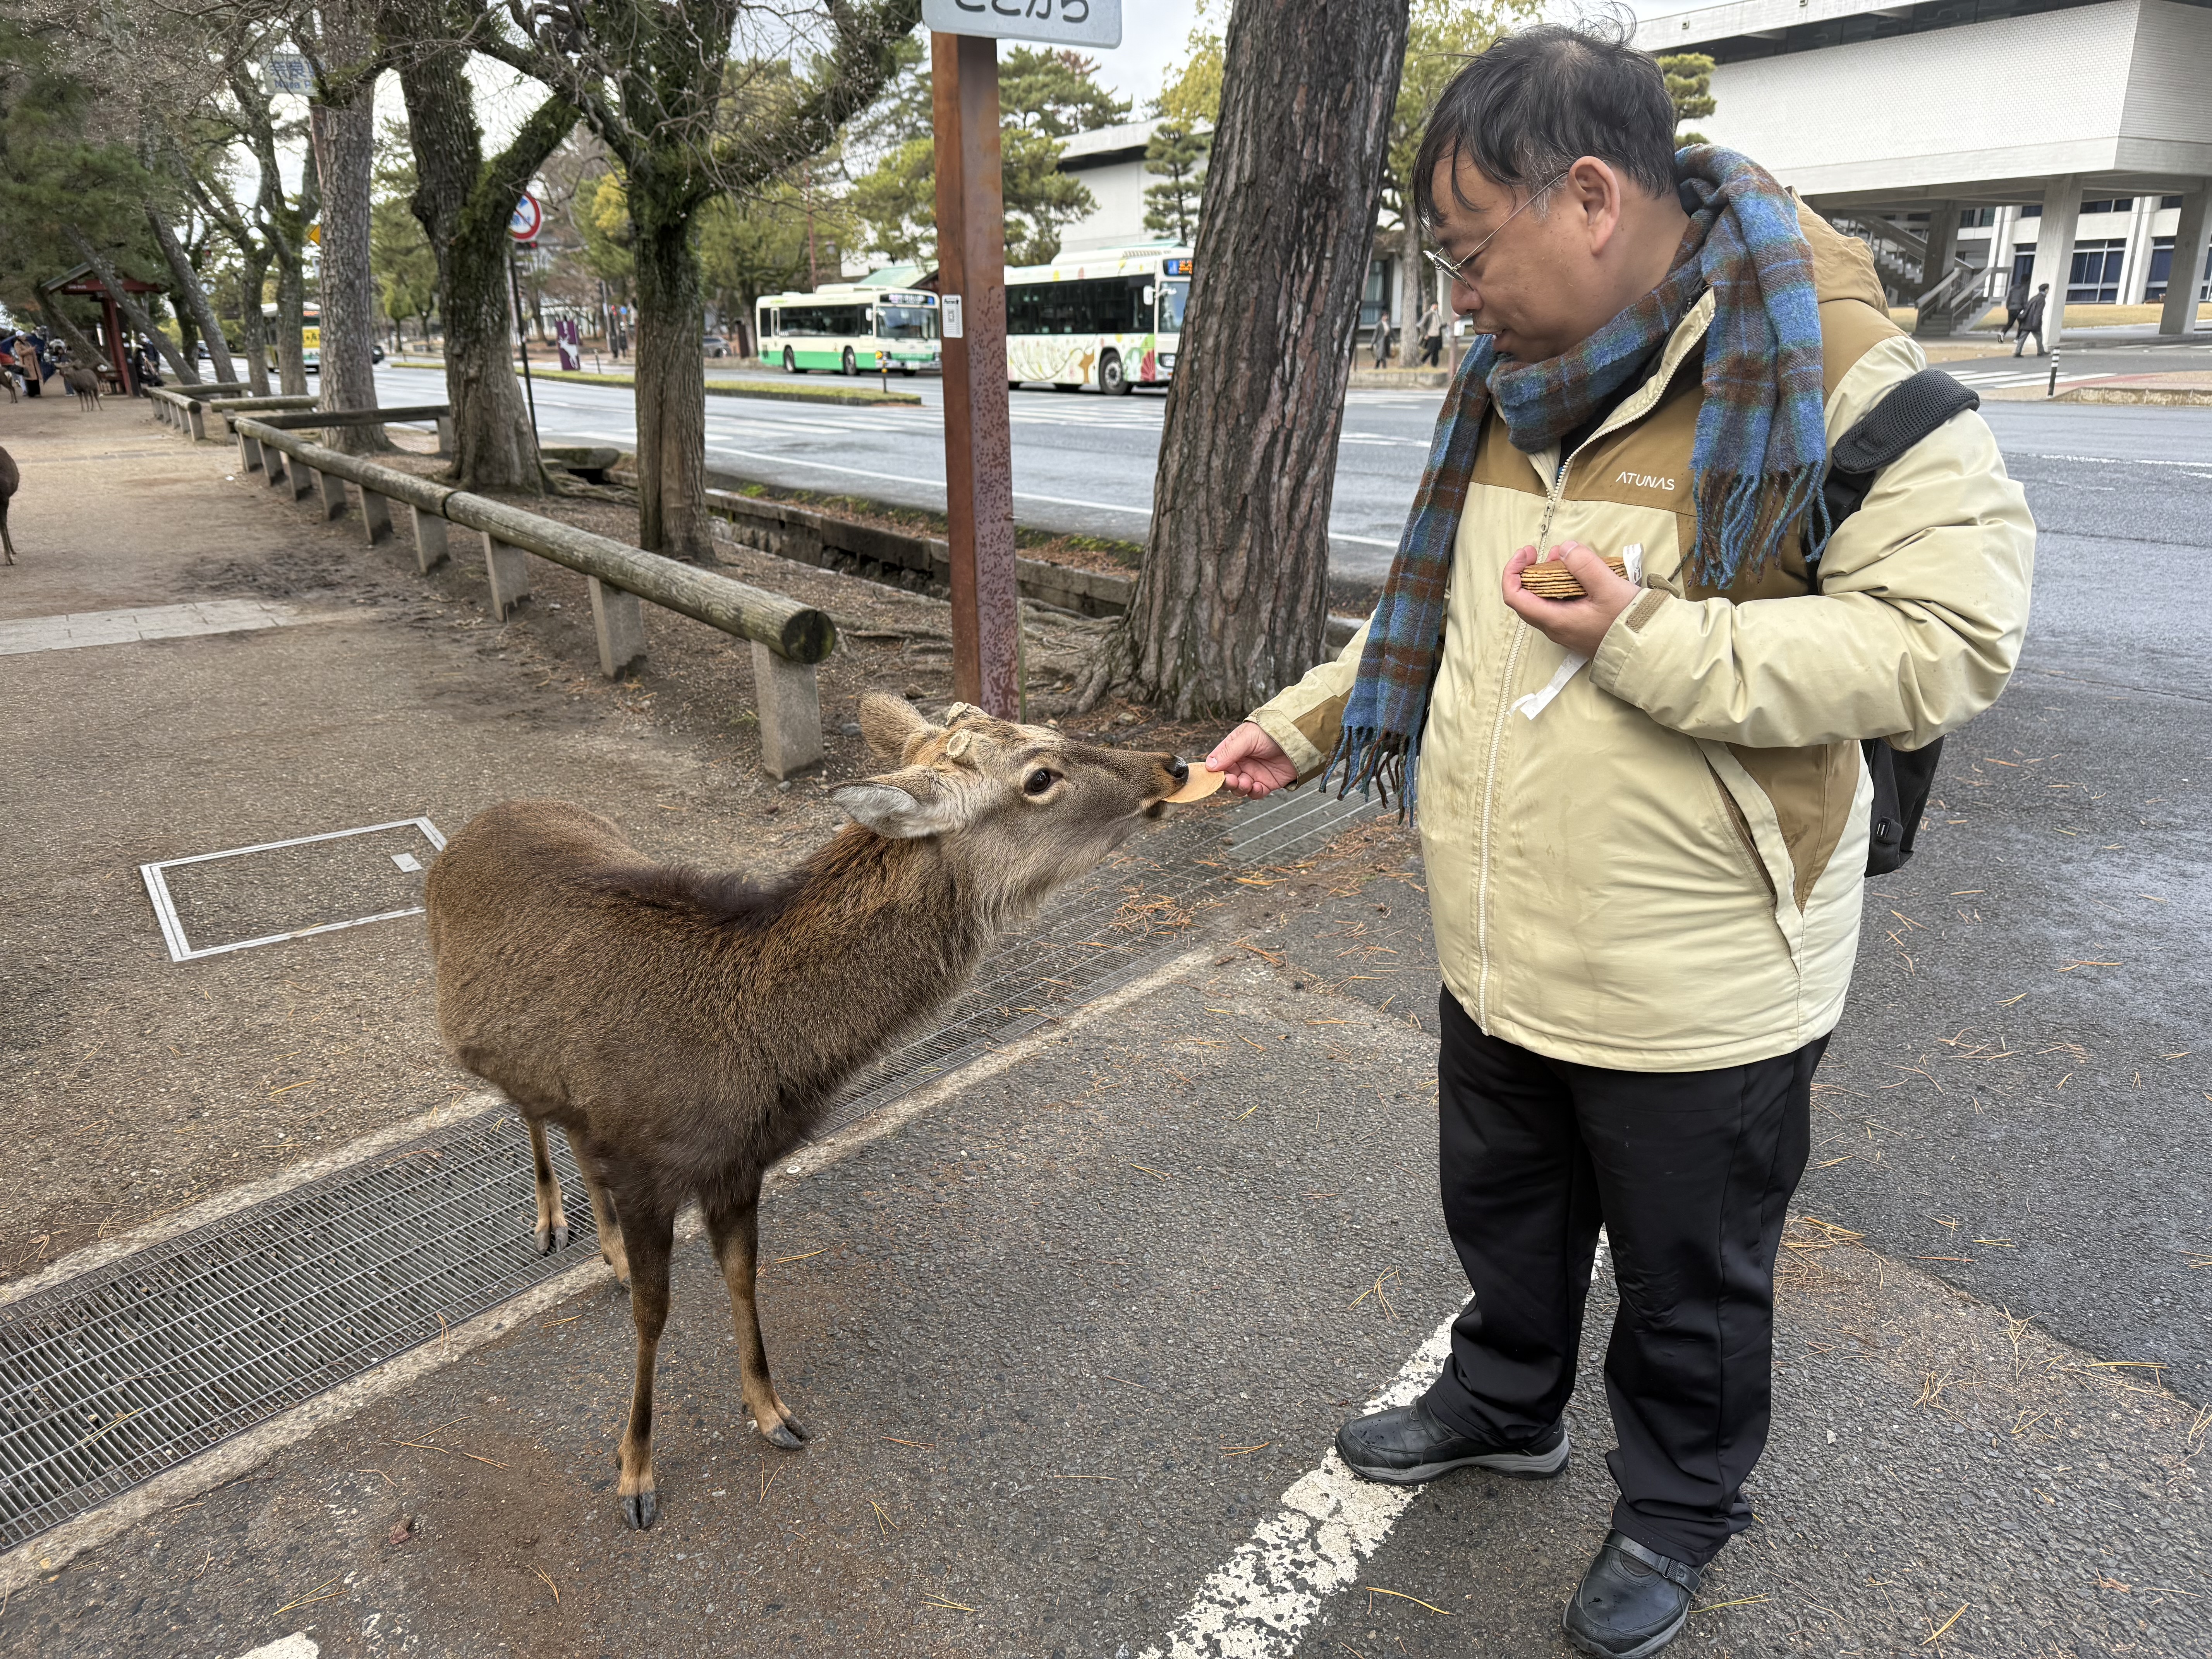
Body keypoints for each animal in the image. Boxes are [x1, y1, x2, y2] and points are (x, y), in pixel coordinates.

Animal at [425, 694, 1191, 1530]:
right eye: (1040, 777)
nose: (1174, 764)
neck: (755, 1053)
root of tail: (478, 821)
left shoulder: (736, 1165)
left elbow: (742, 1277)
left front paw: (771, 1412)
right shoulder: (646, 1164)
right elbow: (656, 1315)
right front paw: (634, 1473)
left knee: (565, 1123)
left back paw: (609, 1251)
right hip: (474, 1041)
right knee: (527, 1112)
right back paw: (552, 1223)